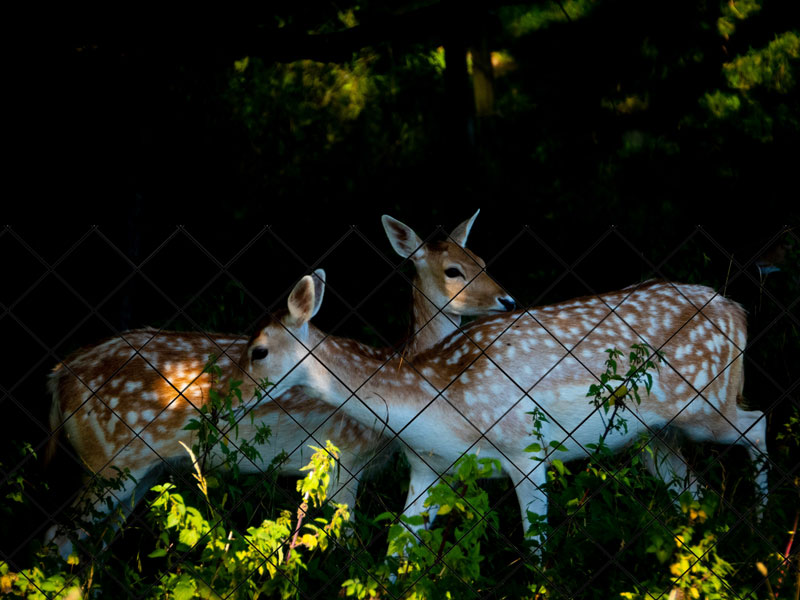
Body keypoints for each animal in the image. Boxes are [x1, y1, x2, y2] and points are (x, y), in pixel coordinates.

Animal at [47, 212, 516, 556]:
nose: (507, 299)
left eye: (483, 262)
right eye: (454, 271)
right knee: (58, 539)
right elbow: (346, 547)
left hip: (141, 470)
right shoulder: (344, 455)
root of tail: (59, 376)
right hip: (108, 461)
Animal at [242, 272, 768, 548]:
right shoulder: (429, 469)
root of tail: (738, 311)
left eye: (258, 351)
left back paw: (765, 529)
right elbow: (396, 550)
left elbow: (536, 547)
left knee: (758, 423)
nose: (234, 397)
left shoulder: (527, 451)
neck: (442, 408)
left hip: (708, 402)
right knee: (695, 492)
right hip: (654, 436)